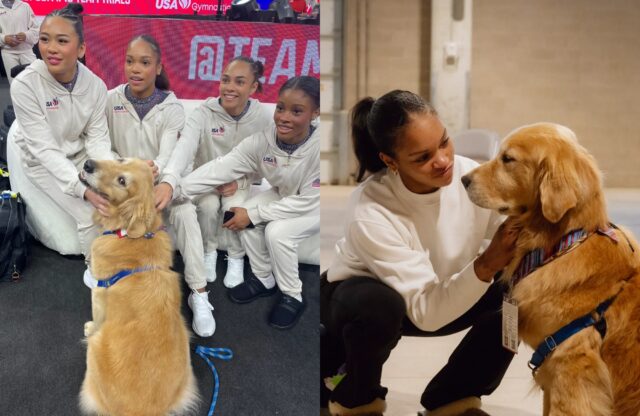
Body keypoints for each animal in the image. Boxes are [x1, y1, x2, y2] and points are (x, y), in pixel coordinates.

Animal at [76, 159, 195, 416]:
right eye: (121, 160)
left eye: (122, 181)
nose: (88, 163)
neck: (129, 234)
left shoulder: (99, 291)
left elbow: (97, 317)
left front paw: (90, 326)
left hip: (94, 351)